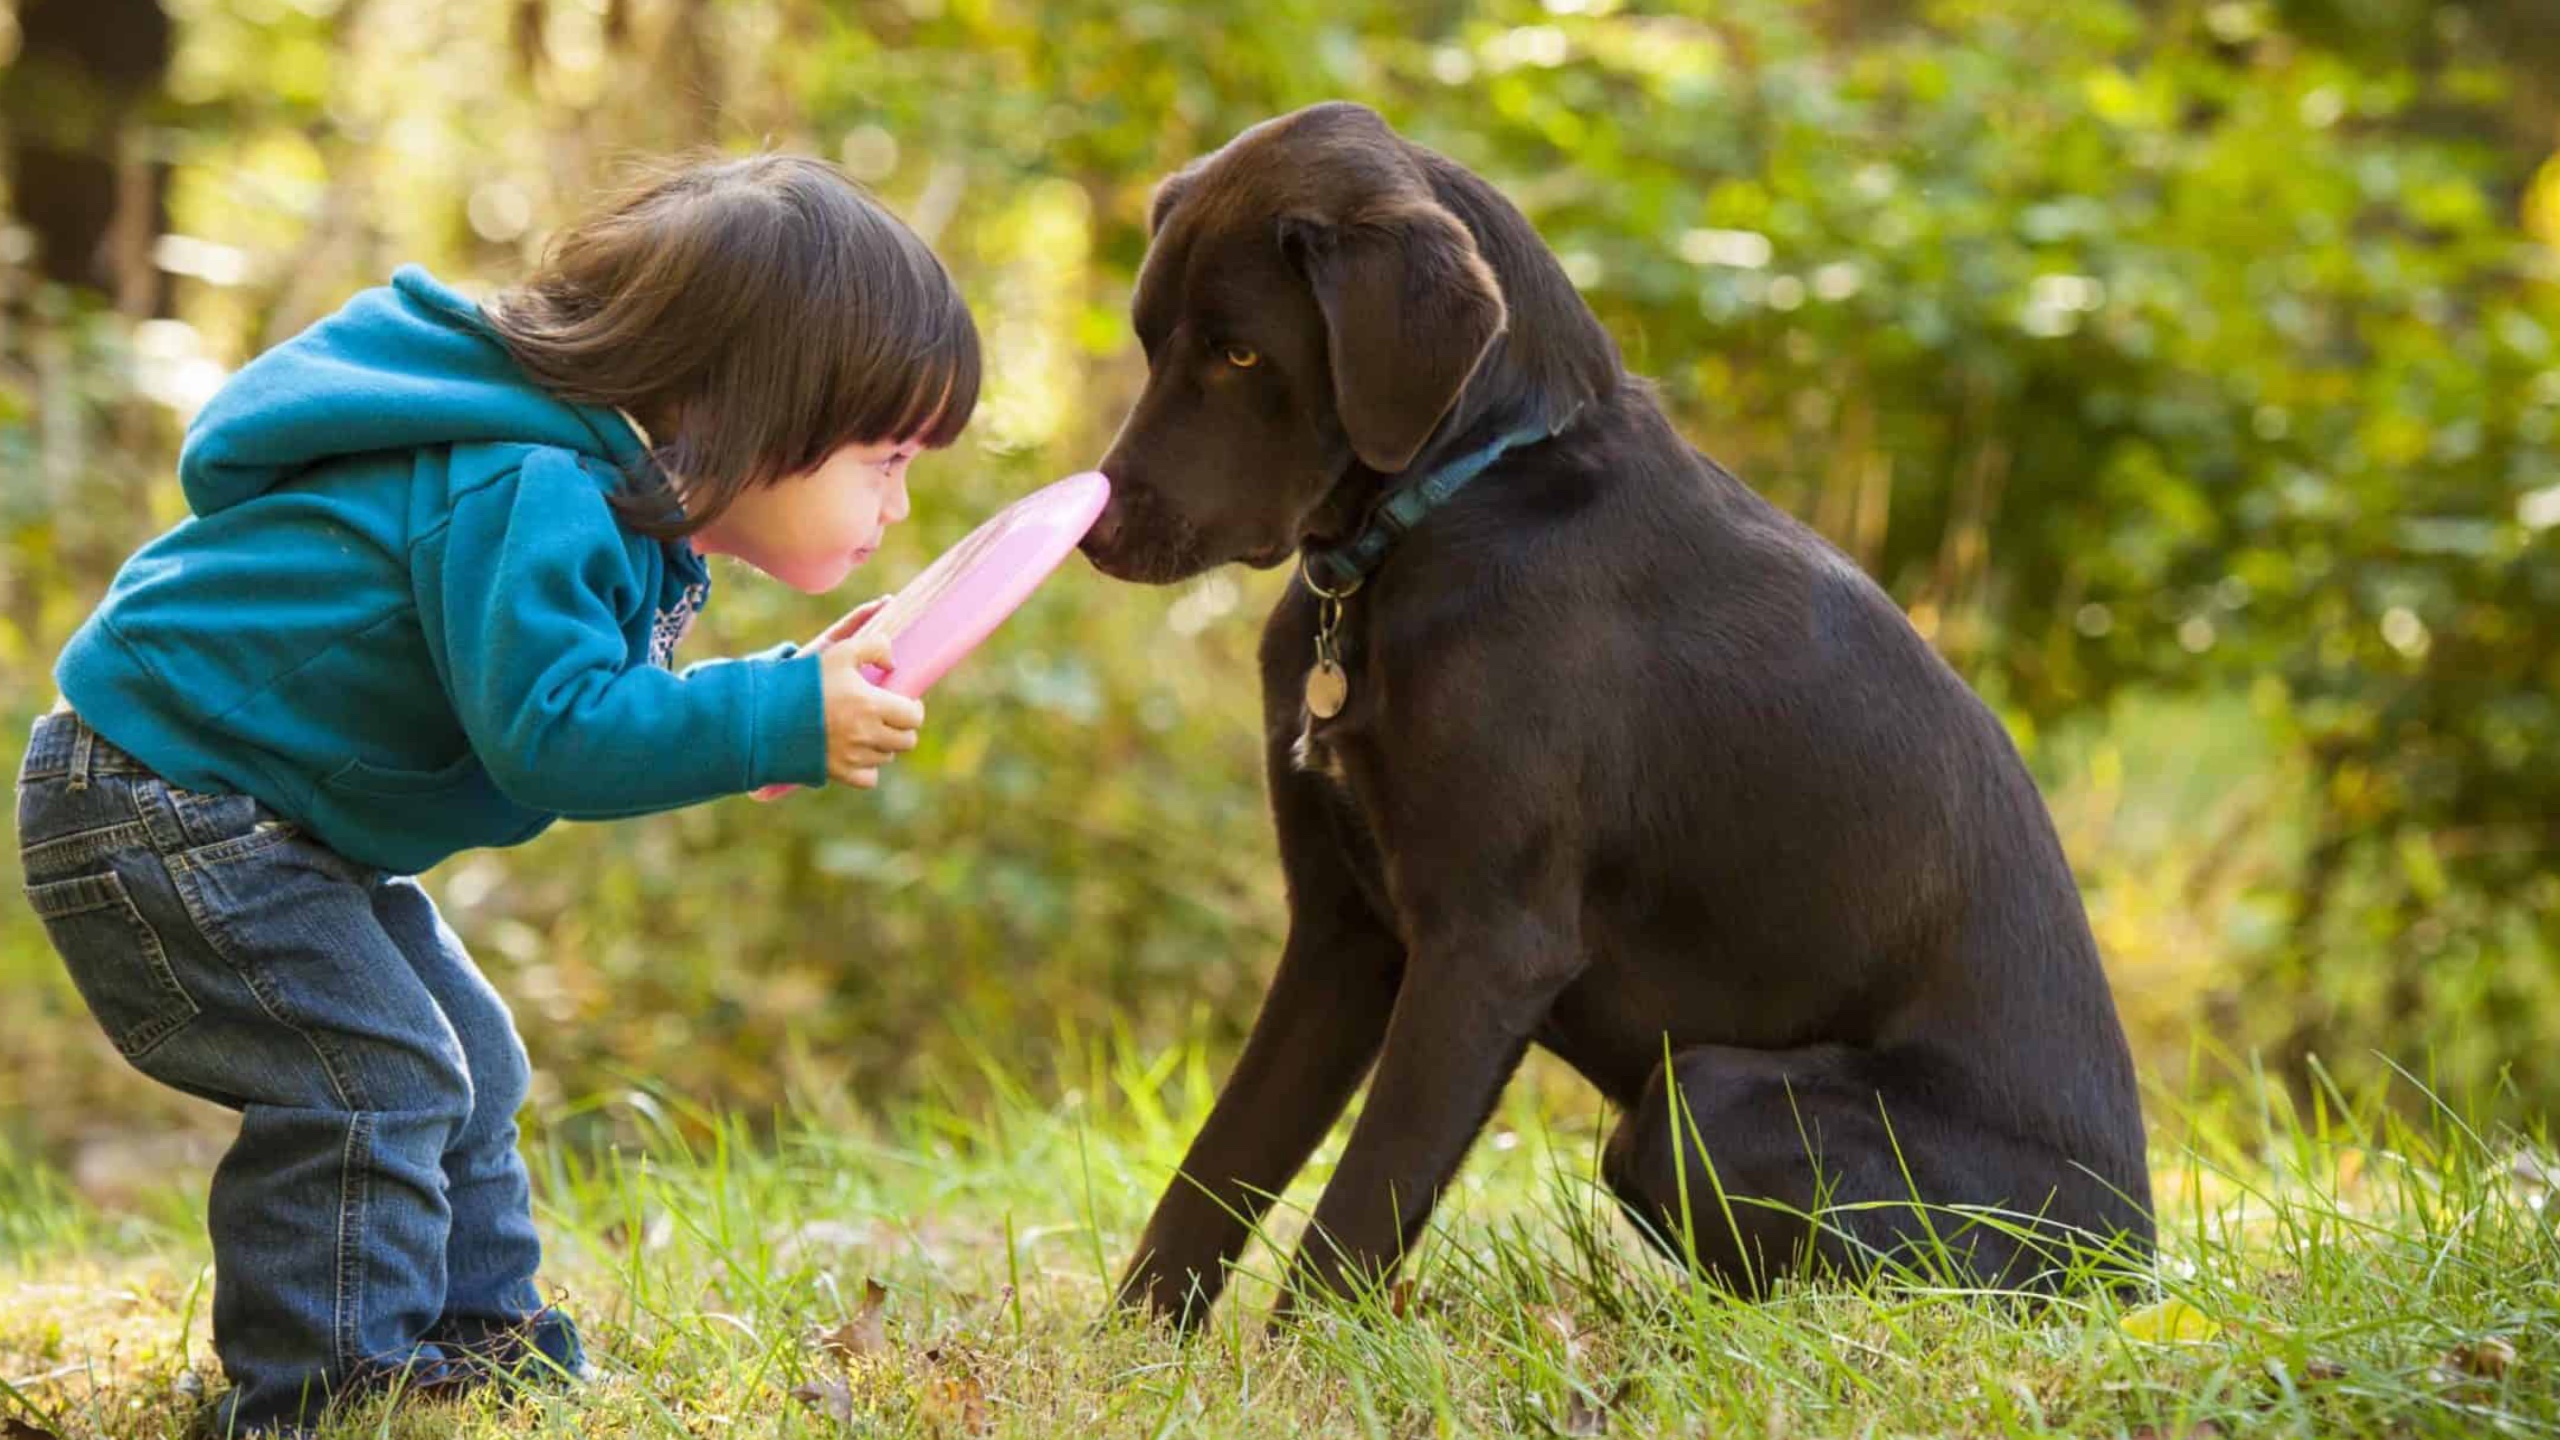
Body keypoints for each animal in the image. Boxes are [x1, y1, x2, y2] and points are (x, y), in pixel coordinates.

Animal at [1080, 101, 2160, 1322]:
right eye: (1151, 340)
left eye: (1241, 353)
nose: (1093, 532)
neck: (1459, 502)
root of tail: (2135, 1262)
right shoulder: (1340, 932)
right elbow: (1212, 1174)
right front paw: (1130, 1353)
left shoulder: (1490, 944)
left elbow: (1353, 1214)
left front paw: (1296, 1358)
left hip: (1708, 1104)